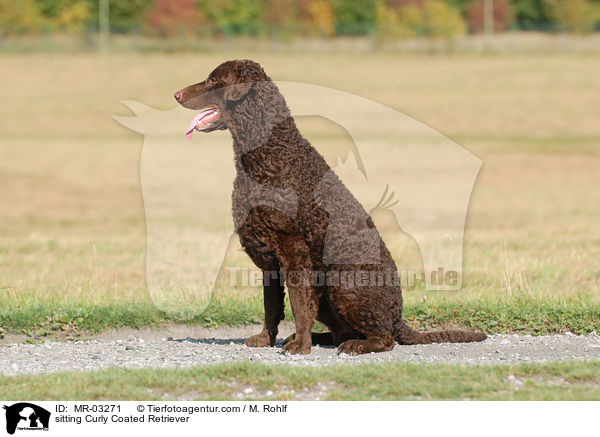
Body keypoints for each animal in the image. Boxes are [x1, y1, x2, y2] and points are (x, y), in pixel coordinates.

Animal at [175, 60, 488, 354]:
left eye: (213, 80)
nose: (175, 94)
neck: (269, 153)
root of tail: (398, 317)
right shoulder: (269, 260)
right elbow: (272, 306)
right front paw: (267, 339)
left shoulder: (293, 248)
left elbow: (300, 304)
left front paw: (299, 347)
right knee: (341, 331)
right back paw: (314, 338)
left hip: (344, 282)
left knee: (384, 338)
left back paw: (350, 345)